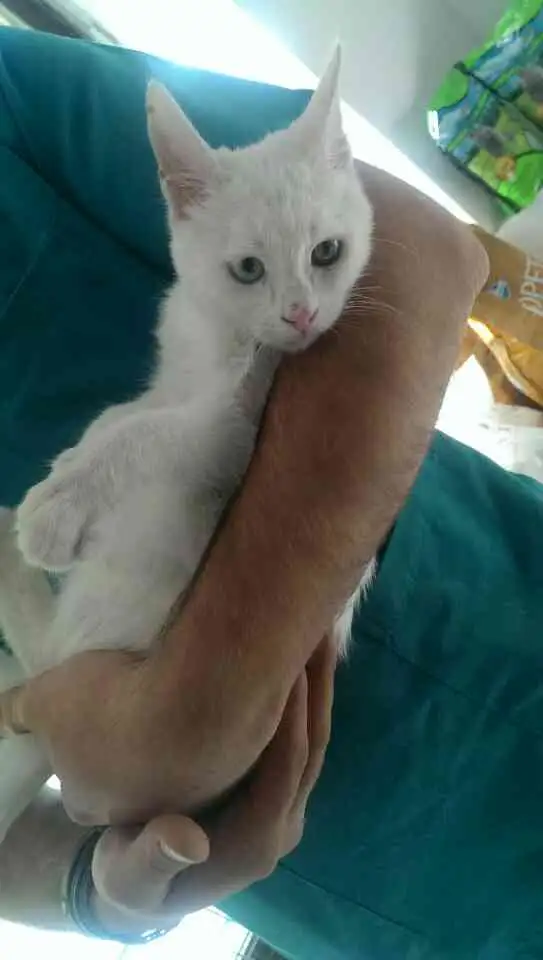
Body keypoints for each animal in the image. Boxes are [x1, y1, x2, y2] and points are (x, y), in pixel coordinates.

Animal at [0, 48, 373, 840]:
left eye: (327, 252)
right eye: (248, 269)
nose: (300, 315)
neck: (221, 338)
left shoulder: (238, 429)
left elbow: (153, 434)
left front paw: (59, 504)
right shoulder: (175, 369)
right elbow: (127, 414)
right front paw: (80, 454)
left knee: (43, 655)